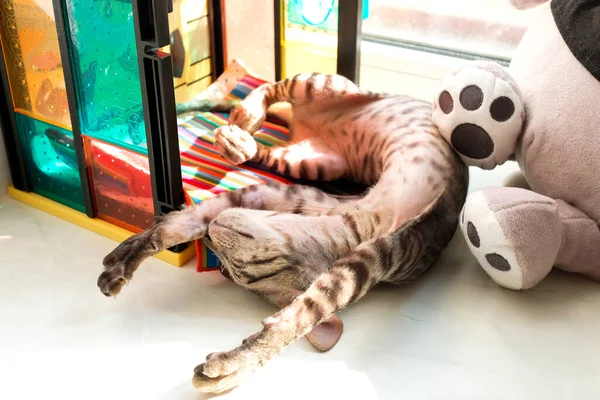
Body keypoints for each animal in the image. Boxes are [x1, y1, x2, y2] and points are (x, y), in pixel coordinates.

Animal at [96, 72, 468, 394]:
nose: (210, 239)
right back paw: (244, 119)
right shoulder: (288, 196)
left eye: (242, 271)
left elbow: (296, 321)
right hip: (323, 98)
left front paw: (235, 367)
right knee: (272, 90)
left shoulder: (366, 259)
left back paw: (240, 134)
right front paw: (125, 259)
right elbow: (177, 225)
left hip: (312, 161)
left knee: (265, 139)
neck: (361, 221)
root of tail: (306, 119)